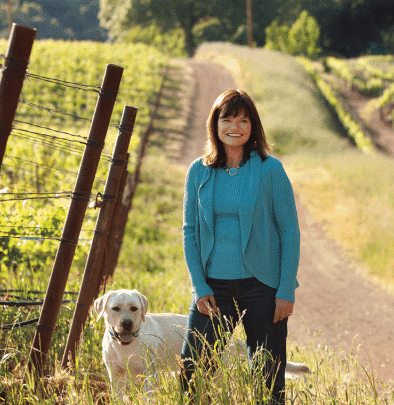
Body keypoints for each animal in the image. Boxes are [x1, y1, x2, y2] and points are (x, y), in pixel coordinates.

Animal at [94, 288, 310, 400]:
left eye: (134, 308)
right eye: (115, 309)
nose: (127, 323)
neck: (125, 346)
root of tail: (230, 340)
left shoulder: (149, 375)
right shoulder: (115, 375)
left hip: (217, 374)